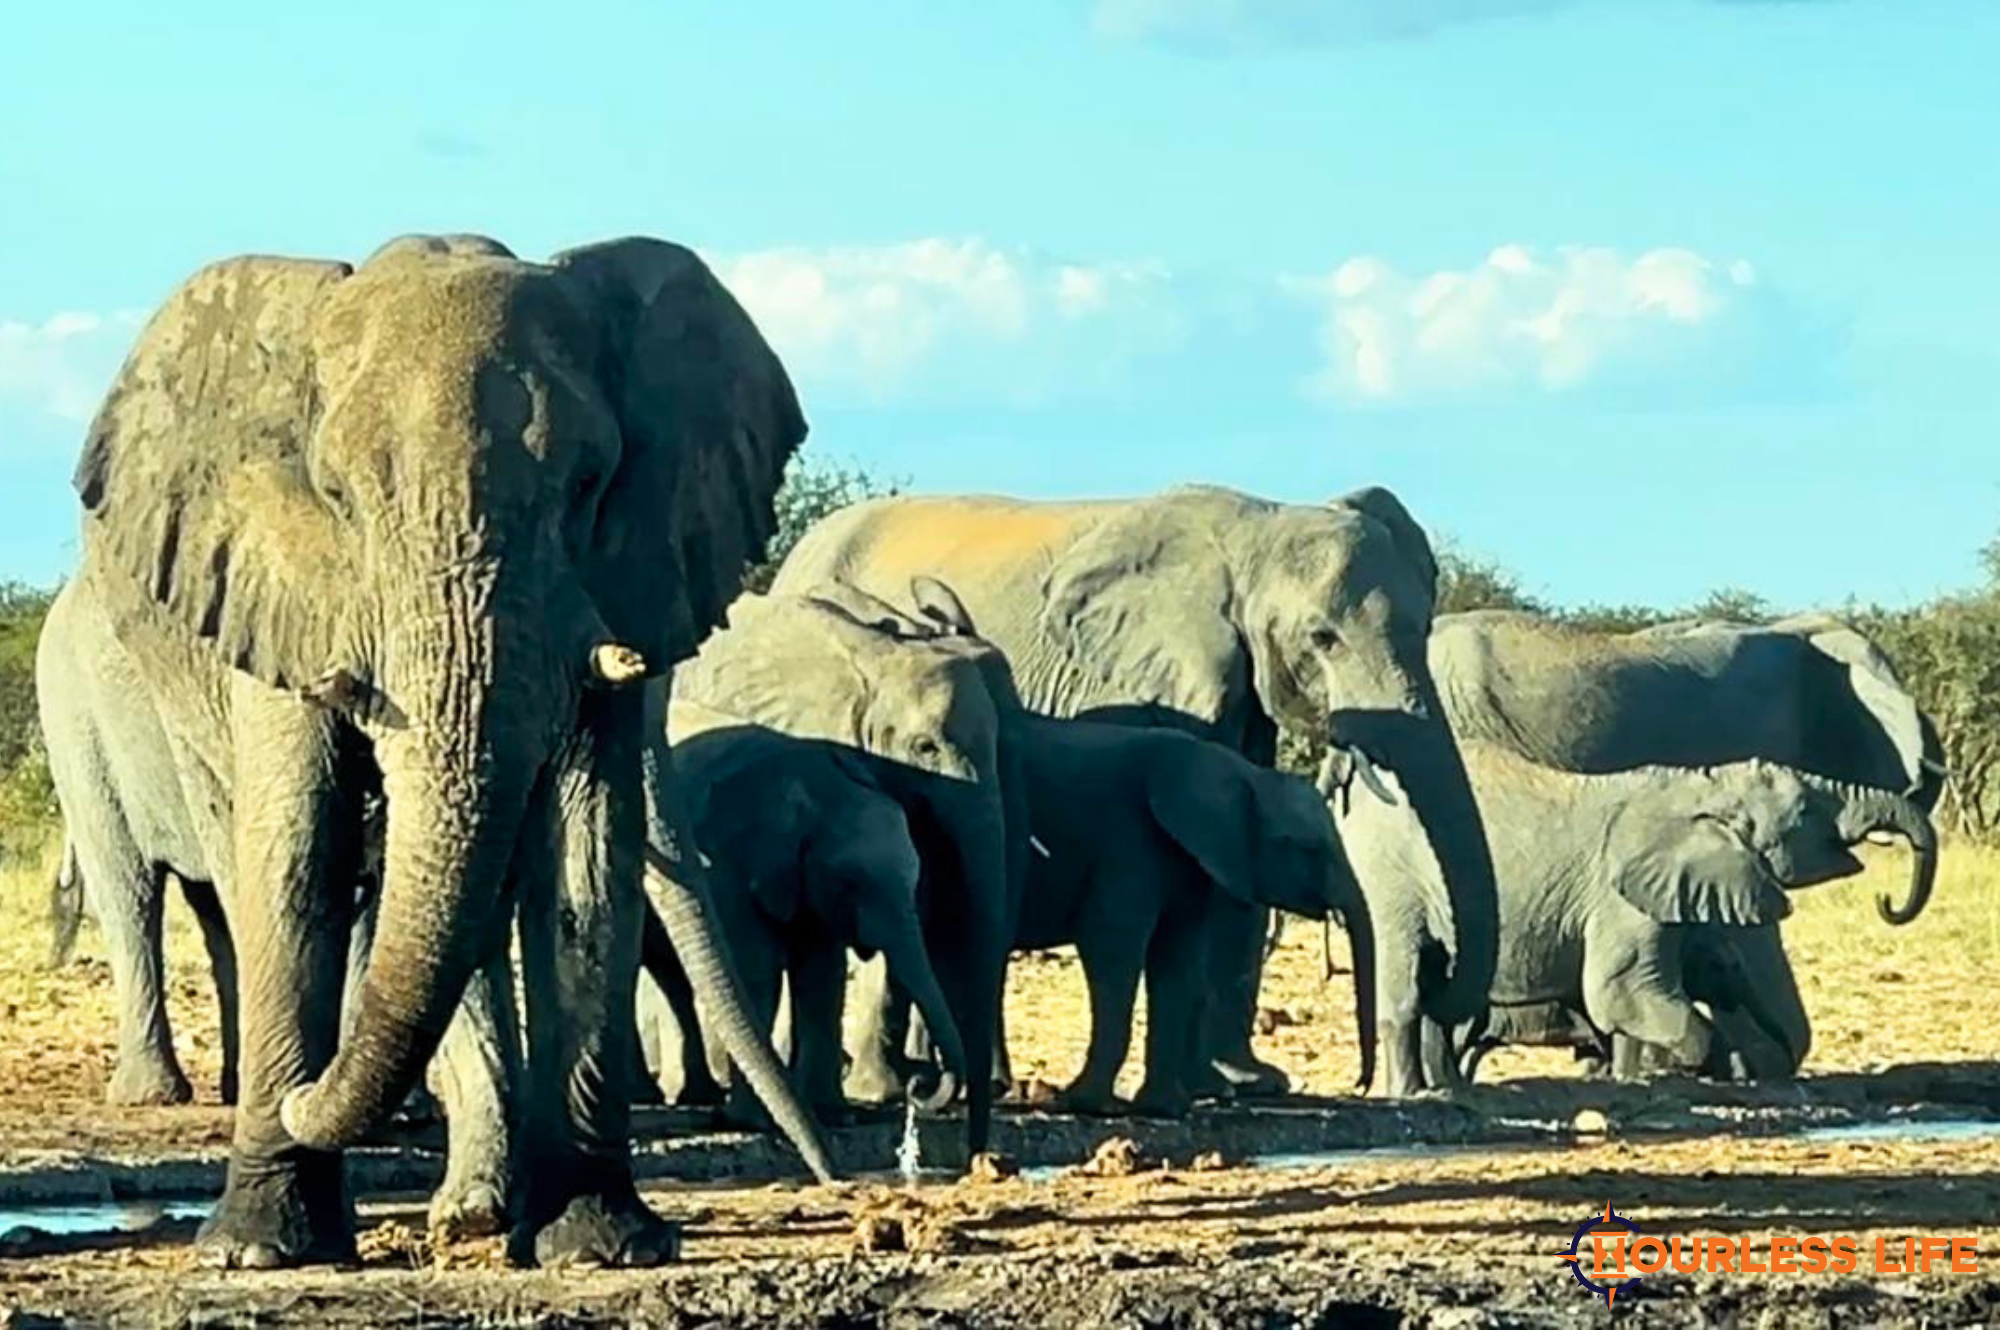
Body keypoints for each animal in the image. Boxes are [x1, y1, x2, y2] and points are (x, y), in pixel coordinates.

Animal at [35, 231, 835, 1270]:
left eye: (587, 486)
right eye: (336, 495)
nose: (837, 1175)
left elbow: (583, 858)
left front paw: (599, 1245)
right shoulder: (280, 594)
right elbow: (299, 856)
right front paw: (259, 1251)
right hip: (96, 708)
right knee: (172, 877)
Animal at [1003, 715, 1378, 1117]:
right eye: (1308, 848)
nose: (1359, 1086)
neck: (1242, 774)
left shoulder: (1191, 858)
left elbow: (1177, 956)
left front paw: (1164, 1108)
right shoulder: (1126, 843)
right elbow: (1112, 944)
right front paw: (1096, 1106)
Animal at [1336, 738, 1936, 1083]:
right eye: (1809, 810)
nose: (1889, 901)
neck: (1700, 785)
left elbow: (1630, 1005)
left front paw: (1635, 1080)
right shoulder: (1618, 897)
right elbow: (1620, 992)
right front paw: (1715, 1067)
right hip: (1390, 875)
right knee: (1406, 989)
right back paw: (1414, 1095)